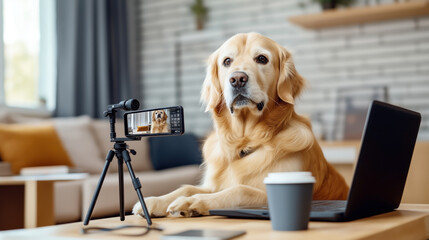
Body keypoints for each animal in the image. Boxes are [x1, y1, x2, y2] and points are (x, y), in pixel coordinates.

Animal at [133, 31, 348, 218]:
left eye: (262, 59)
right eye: (227, 61)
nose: (237, 79)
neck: (244, 142)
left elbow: (240, 189)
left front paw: (191, 202)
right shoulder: (211, 184)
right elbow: (186, 187)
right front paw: (153, 201)